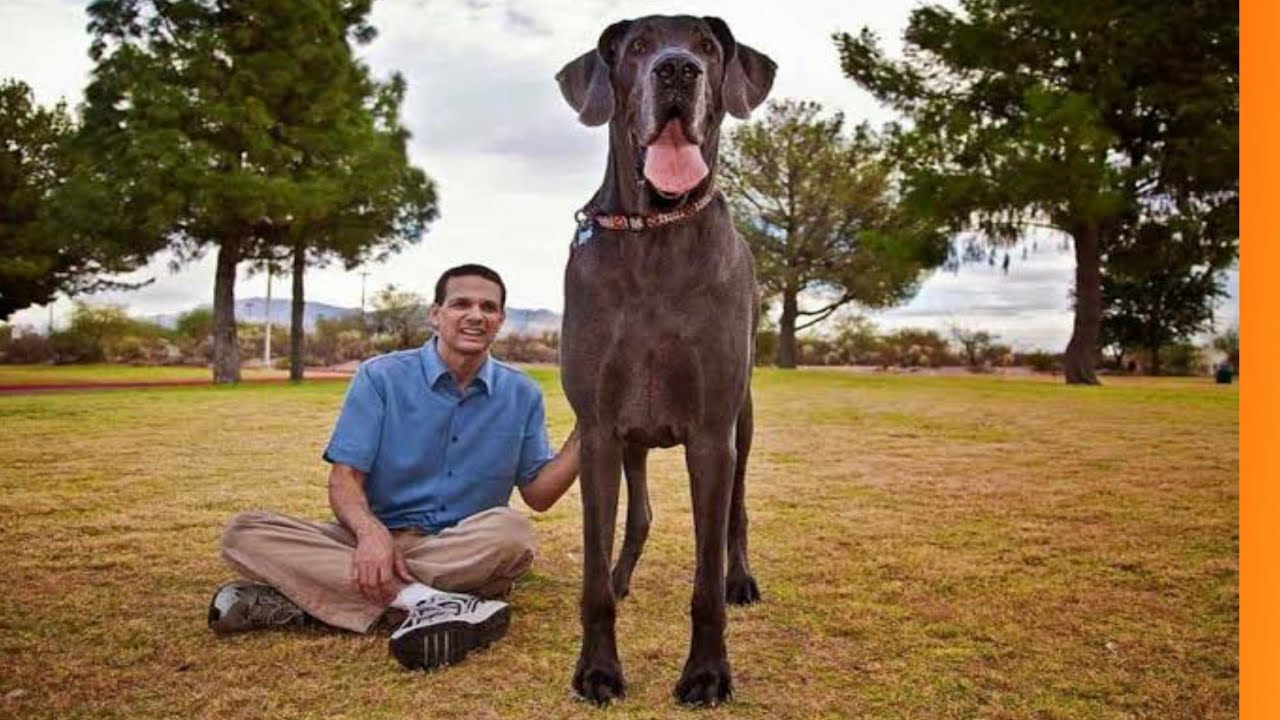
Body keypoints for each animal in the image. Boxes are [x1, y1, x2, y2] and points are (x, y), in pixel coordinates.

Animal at [555, 14, 773, 702]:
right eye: (637, 48)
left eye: (707, 46)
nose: (678, 69)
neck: (653, 233)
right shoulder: (598, 431)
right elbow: (594, 573)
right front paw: (598, 670)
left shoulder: (711, 434)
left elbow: (706, 580)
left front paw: (707, 673)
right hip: (632, 440)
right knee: (641, 516)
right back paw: (624, 574)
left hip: (743, 422)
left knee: (737, 514)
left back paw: (741, 577)